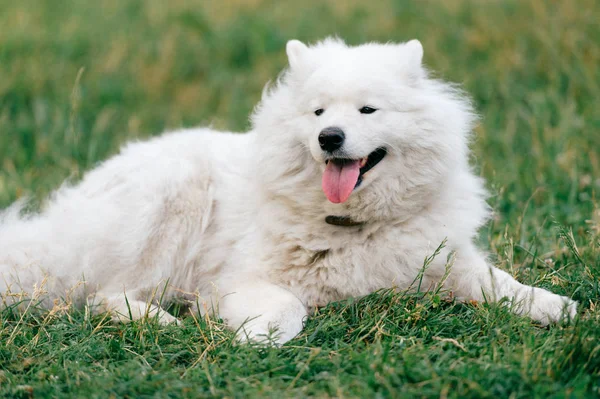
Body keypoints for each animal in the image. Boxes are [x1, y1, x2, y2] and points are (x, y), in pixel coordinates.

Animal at [0, 38, 576, 344]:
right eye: (318, 112)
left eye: (368, 110)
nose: (330, 137)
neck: (354, 226)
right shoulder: (241, 279)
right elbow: (286, 308)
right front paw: (255, 335)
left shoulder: (447, 262)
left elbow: (504, 284)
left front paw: (556, 307)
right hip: (171, 201)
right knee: (104, 295)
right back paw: (162, 319)